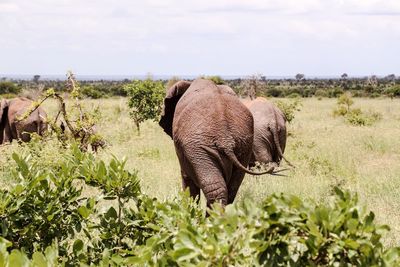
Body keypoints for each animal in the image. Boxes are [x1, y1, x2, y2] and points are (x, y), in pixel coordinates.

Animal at [159, 78, 268, 208]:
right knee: (232, 189)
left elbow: (187, 181)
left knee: (214, 189)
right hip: (244, 147)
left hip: (200, 149)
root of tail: (226, 140)